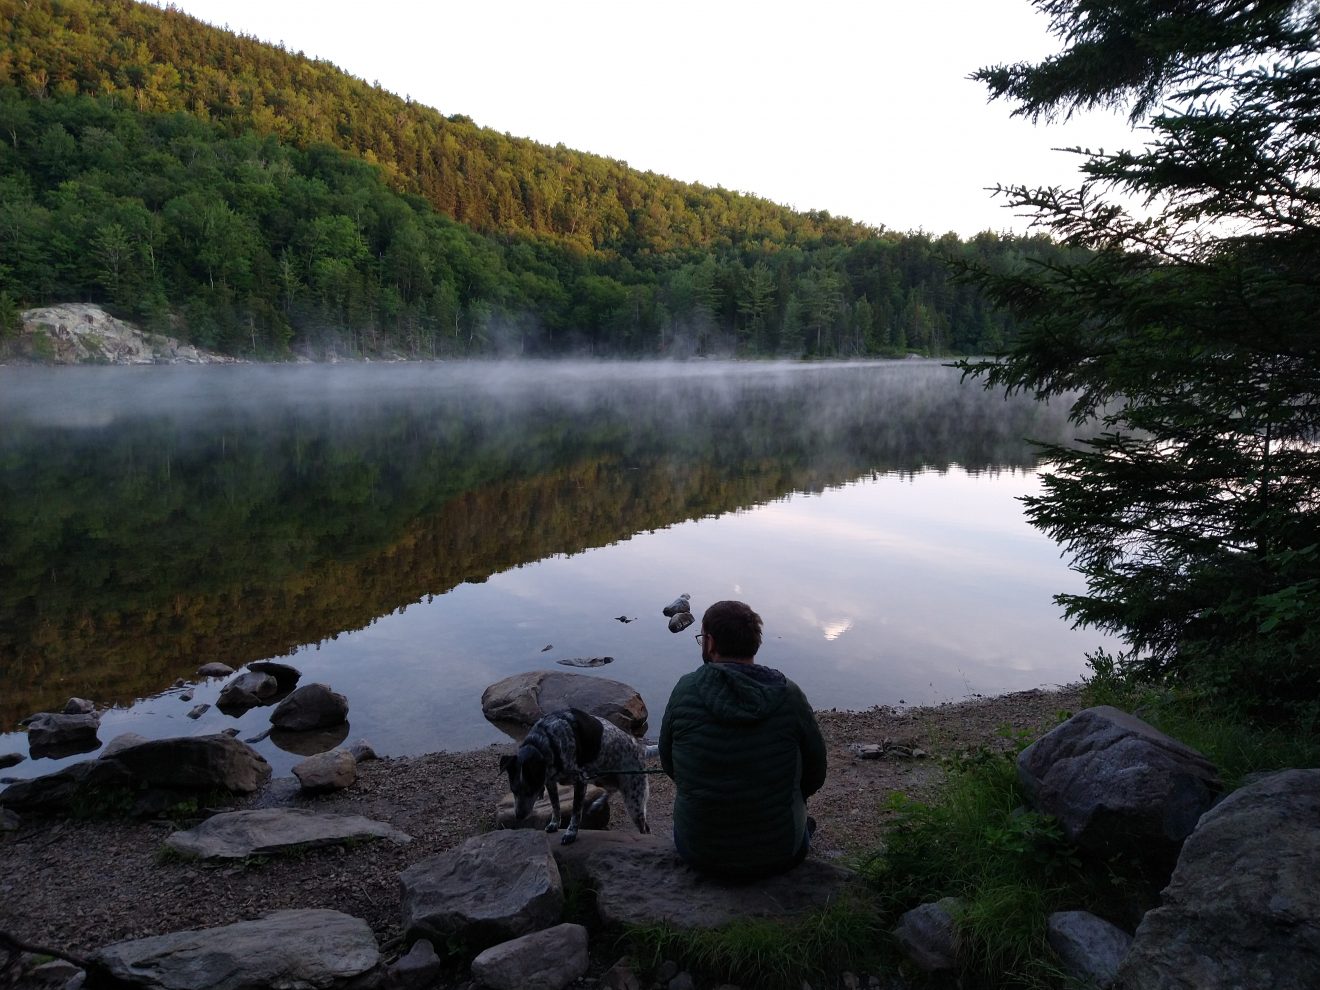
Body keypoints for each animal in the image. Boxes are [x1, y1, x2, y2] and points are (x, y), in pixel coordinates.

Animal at [498, 707, 654, 844]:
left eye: (531, 790)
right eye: (513, 790)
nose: (519, 816)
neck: (547, 739)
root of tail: (641, 749)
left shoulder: (580, 781)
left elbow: (575, 812)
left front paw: (571, 833)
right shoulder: (550, 782)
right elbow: (555, 806)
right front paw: (554, 824)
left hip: (634, 799)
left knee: (645, 827)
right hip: (601, 778)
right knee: (612, 789)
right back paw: (597, 804)